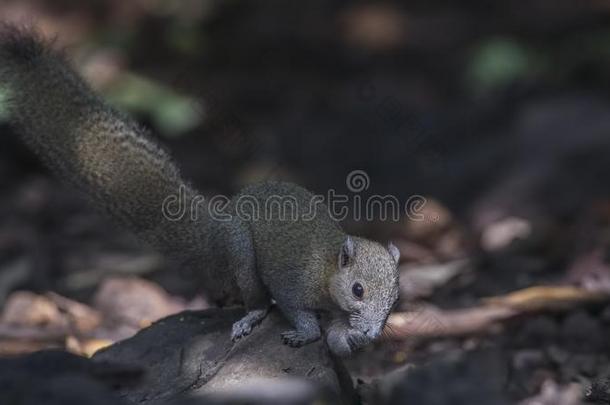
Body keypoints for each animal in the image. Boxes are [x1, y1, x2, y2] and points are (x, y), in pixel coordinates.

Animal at [1, 25, 400, 356]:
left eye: (396, 298)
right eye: (358, 290)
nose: (372, 334)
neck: (327, 268)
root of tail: (215, 234)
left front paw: (351, 338)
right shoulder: (292, 283)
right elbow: (294, 309)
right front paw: (306, 332)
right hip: (240, 251)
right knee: (257, 297)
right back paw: (252, 316)